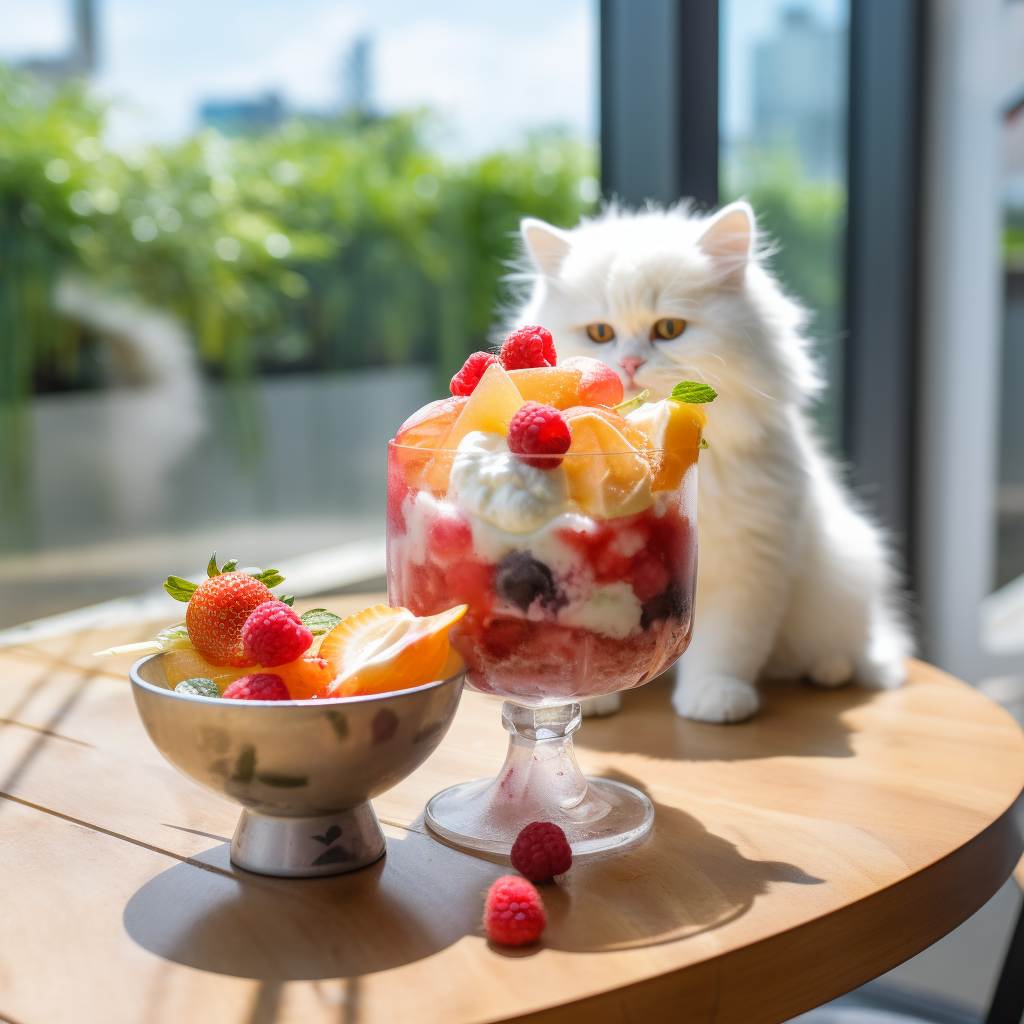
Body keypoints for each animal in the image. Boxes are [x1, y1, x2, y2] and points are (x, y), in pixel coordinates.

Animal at [512, 203, 913, 724]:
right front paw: (591, 695)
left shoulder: (751, 556)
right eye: (601, 333)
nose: (631, 363)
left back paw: (830, 670)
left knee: (857, 652)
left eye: (669, 329)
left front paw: (714, 699)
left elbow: (727, 644)